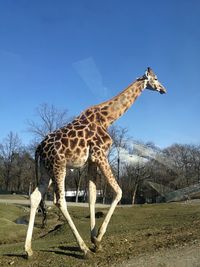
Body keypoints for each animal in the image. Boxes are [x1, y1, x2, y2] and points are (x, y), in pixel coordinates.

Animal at [24, 67, 166, 260]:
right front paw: (97, 239)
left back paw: (28, 250)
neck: (108, 117)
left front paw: (95, 241)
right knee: (60, 201)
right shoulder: (100, 154)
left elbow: (91, 196)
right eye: (156, 78)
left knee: (35, 196)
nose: (163, 90)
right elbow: (119, 191)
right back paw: (83, 249)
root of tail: (38, 148)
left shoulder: (91, 160)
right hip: (59, 166)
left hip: (46, 169)